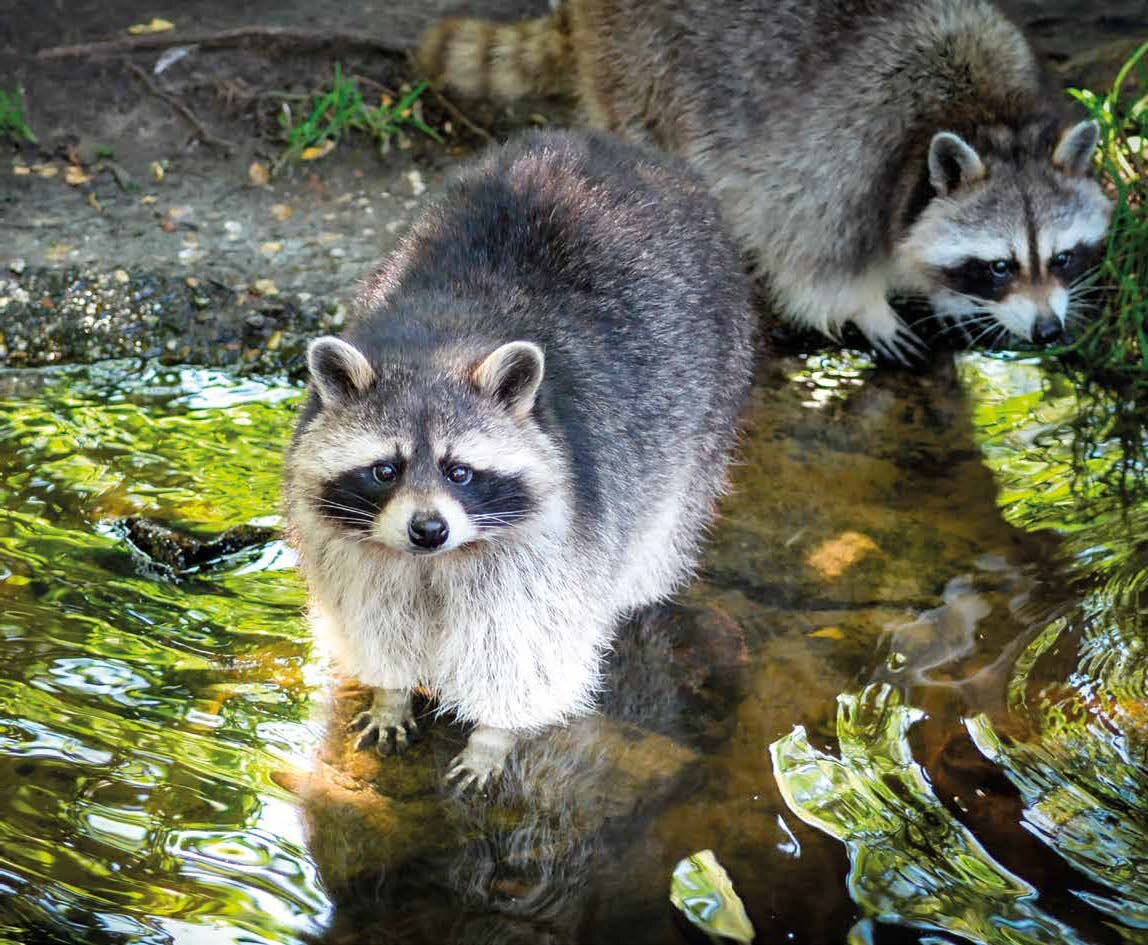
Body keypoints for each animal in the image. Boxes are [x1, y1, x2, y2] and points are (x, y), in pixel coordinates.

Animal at [282, 129, 757, 785]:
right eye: (386, 470)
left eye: (459, 471)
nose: (428, 530)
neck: (437, 344)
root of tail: (614, 145)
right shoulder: (349, 551)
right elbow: (371, 617)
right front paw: (390, 692)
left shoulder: (558, 539)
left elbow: (527, 647)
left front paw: (494, 734)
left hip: (713, 400)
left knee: (656, 540)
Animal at [420, 0, 1111, 362]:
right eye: (1000, 265)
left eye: (1064, 257)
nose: (1050, 332)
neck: (984, 113)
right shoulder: (849, 155)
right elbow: (813, 262)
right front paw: (871, 308)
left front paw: (942, 294)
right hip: (639, 67)